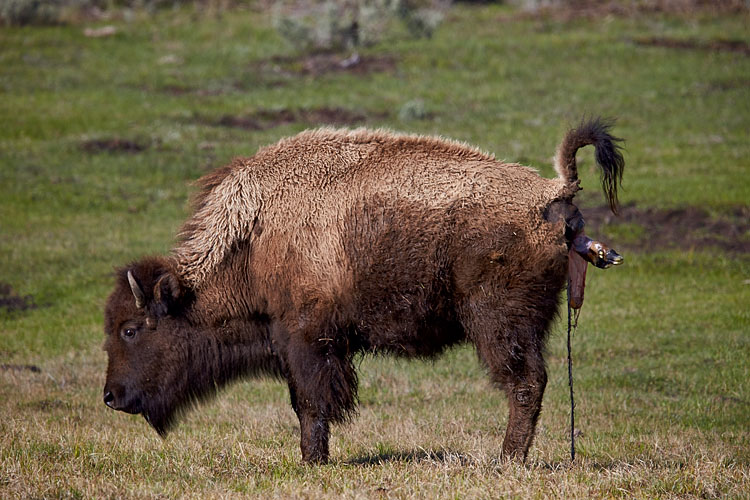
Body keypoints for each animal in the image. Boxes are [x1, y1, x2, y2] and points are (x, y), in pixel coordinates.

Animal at [103, 119, 624, 462]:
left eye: (131, 330)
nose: (110, 397)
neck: (253, 240)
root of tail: (551, 195)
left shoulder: (307, 338)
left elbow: (311, 403)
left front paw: (312, 461)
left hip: (499, 322)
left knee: (524, 383)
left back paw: (505, 460)